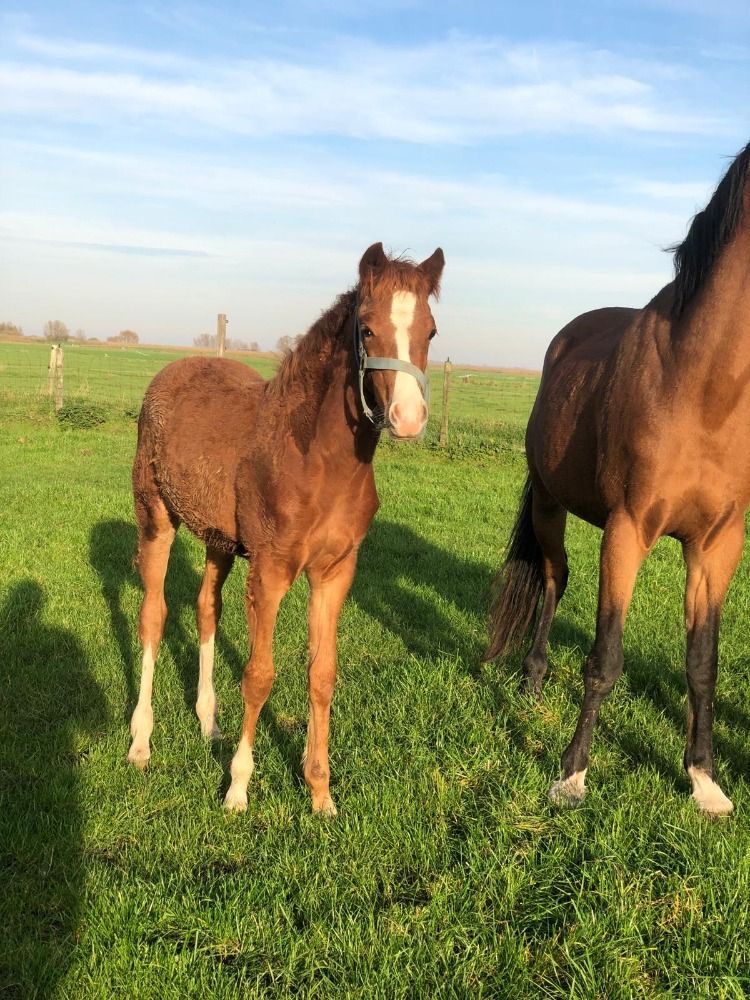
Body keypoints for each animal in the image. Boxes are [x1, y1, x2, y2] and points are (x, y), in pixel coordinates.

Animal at [128, 242, 444, 815]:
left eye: (430, 331)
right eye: (367, 329)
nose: (408, 417)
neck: (317, 461)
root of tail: (169, 373)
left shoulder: (335, 574)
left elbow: (322, 675)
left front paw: (320, 792)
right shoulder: (271, 573)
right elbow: (259, 676)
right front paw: (237, 787)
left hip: (219, 540)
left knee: (206, 609)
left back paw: (208, 723)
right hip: (156, 518)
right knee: (154, 615)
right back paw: (141, 740)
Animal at [486, 140, 750, 817]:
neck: (703, 387)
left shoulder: (716, 546)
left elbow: (702, 663)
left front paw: (704, 781)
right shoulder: (627, 531)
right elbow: (605, 657)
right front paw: (572, 775)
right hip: (550, 505)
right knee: (554, 579)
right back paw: (532, 681)